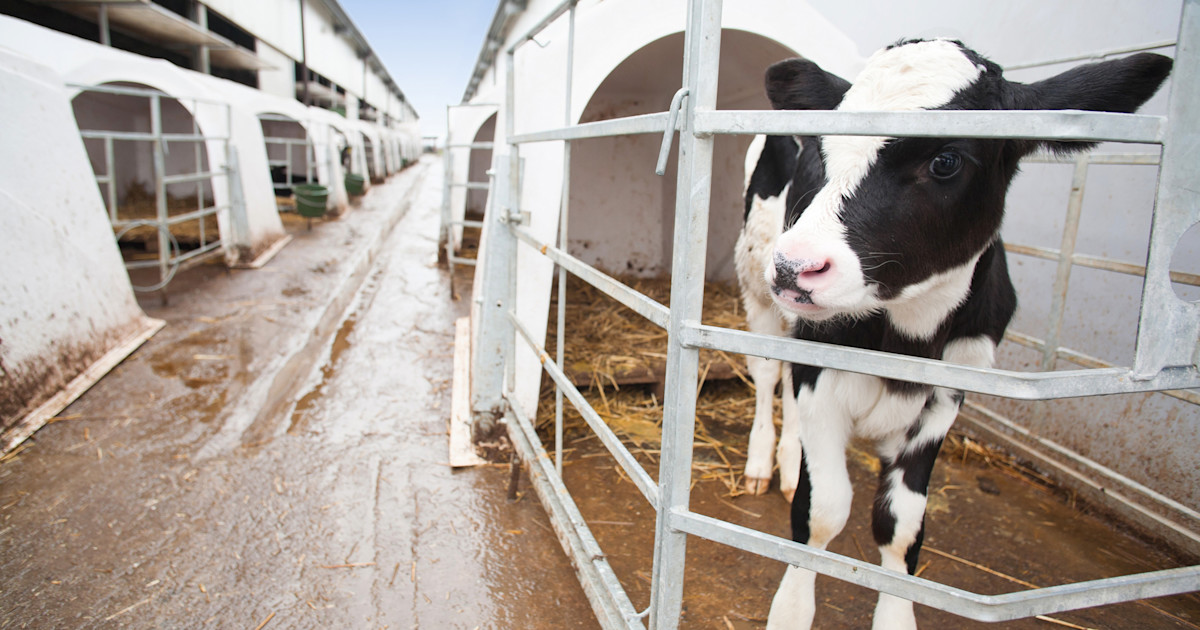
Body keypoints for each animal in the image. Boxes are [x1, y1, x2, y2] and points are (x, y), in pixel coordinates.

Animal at [747, 39, 1172, 630]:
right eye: (819, 146)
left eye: (945, 160)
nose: (795, 267)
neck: (907, 337)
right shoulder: (819, 370)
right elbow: (824, 510)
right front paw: (791, 609)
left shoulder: (947, 396)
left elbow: (901, 526)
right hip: (756, 286)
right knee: (769, 374)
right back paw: (763, 460)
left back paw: (788, 462)